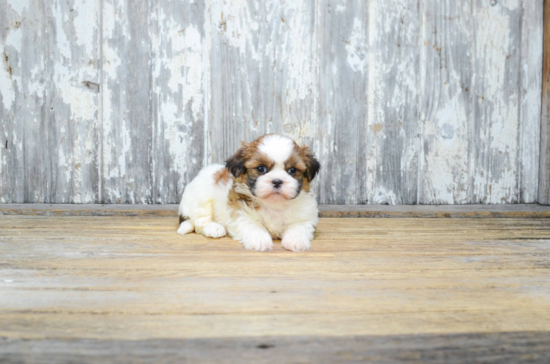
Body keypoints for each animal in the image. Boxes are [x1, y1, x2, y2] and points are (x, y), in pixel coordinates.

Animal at [177, 135, 324, 252]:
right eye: (261, 168)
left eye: (292, 170)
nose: (277, 181)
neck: (274, 204)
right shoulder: (242, 213)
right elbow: (253, 226)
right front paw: (260, 240)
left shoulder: (305, 216)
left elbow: (299, 226)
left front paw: (296, 240)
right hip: (202, 197)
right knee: (199, 222)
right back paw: (214, 228)